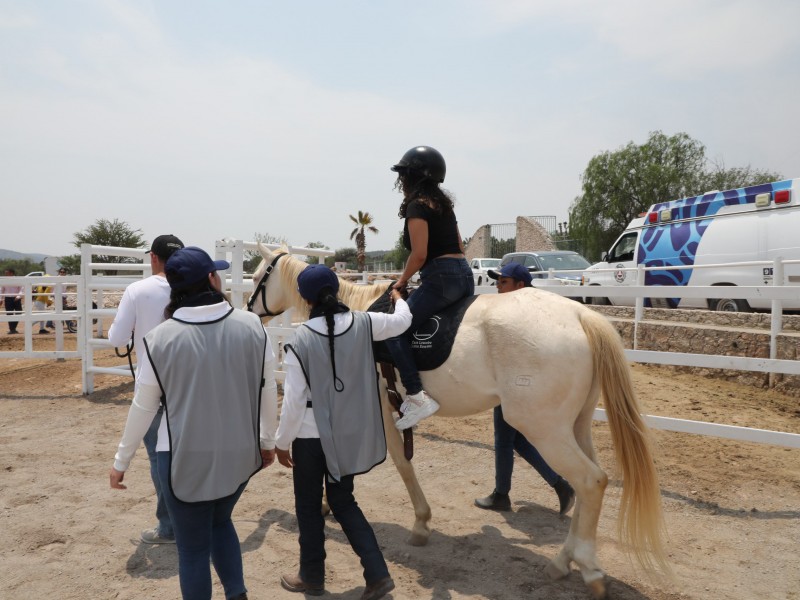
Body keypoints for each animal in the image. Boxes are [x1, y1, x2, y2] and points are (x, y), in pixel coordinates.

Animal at [248, 246, 668, 596]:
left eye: (256, 278)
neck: (348, 316)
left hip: (544, 428)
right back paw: (564, 560)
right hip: (574, 426)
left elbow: (397, 463)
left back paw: (589, 569)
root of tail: (580, 314)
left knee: (591, 481)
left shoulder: (376, 410)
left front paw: (419, 523)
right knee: (589, 483)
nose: (251, 312)